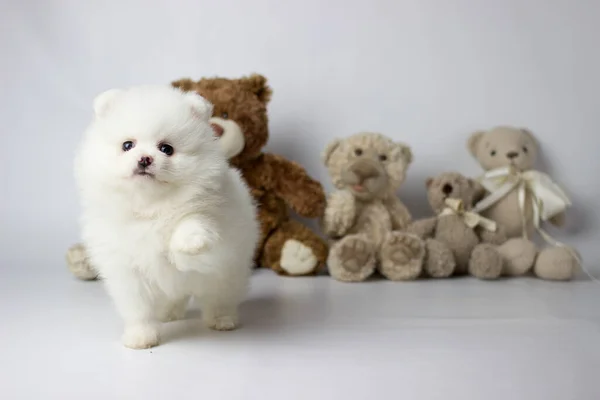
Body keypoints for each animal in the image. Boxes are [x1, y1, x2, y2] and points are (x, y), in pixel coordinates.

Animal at [74, 85, 258, 350]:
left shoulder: (215, 226)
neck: (150, 206)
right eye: (127, 145)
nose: (144, 159)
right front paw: (141, 337)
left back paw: (222, 319)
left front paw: (187, 243)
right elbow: (139, 309)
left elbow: (193, 222)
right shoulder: (127, 270)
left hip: (228, 273)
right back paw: (168, 314)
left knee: (220, 297)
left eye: (166, 149)